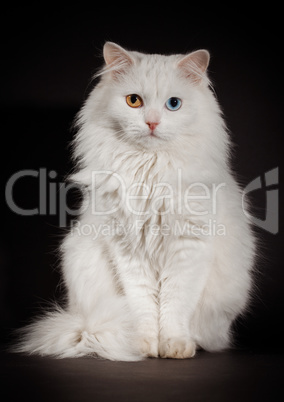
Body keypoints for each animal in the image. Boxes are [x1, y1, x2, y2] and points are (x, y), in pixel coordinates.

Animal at [14, 41, 256, 362]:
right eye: (133, 101)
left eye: (173, 104)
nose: (152, 122)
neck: (149, 173)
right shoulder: (128, 250)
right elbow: (143, 306)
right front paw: (143, 345)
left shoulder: (188, 247)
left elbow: (174, 305)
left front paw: (175, 346)